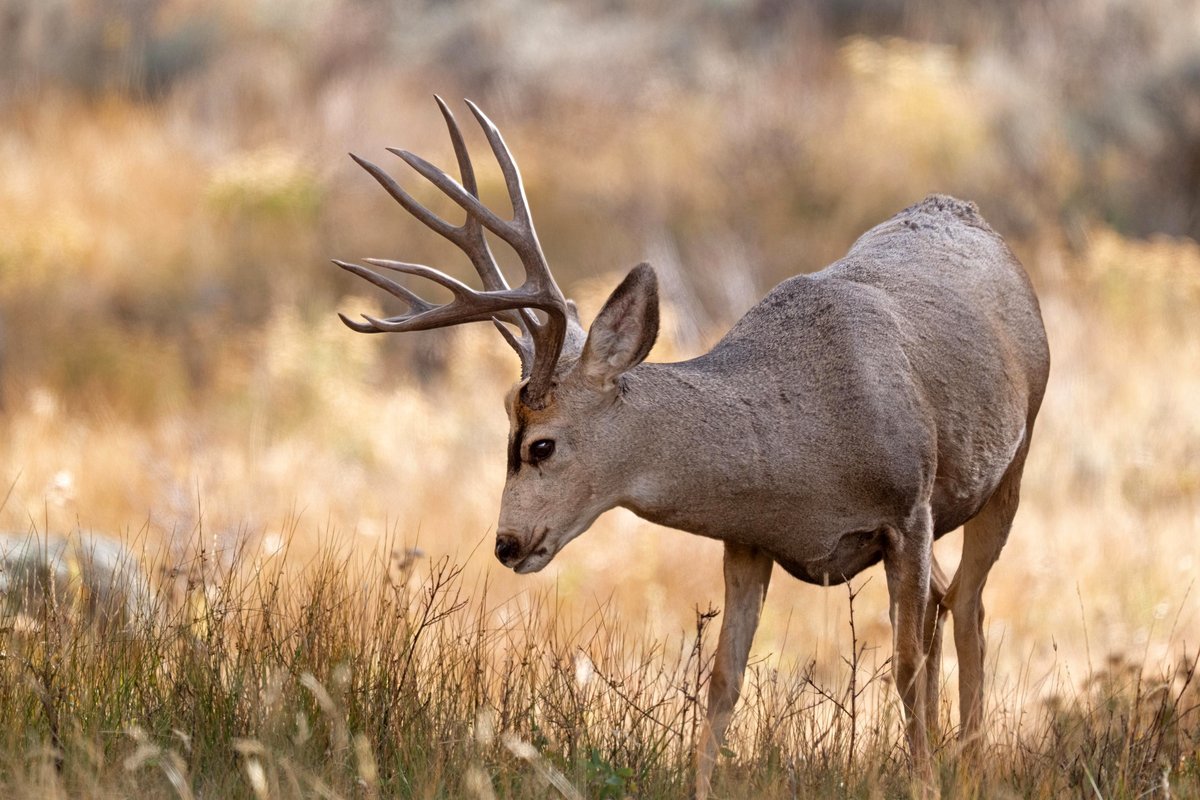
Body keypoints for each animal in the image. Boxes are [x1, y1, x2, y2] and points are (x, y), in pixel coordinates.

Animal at [335, 98, 1050, 798]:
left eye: (540, 445)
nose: (506, 544)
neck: (803, 445)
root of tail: (964, 210)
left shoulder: (908, 508)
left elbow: (902, 665)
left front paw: (924, 783)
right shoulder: (748, 538)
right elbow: (723, 680)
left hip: (1013, 460)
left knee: (968, 608)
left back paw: (971, 766)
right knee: (942, 606)